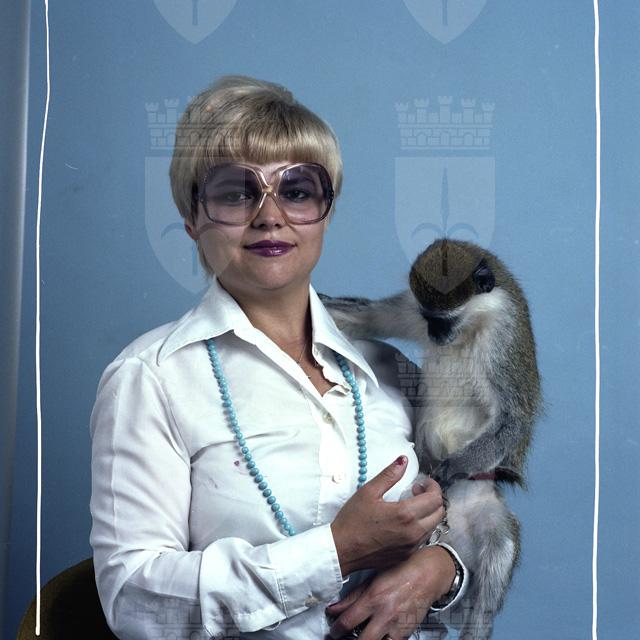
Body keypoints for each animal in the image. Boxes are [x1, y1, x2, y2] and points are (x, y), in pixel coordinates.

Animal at [320, 239, 542, 640]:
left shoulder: (504, 336)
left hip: (486, 514)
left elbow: (513, 420)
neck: (474, 323)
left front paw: (450, 469)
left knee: (496, 562)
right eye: (429, 319)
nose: (436, 335)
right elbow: (368, 318)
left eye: (446, 320)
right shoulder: (411, 306)